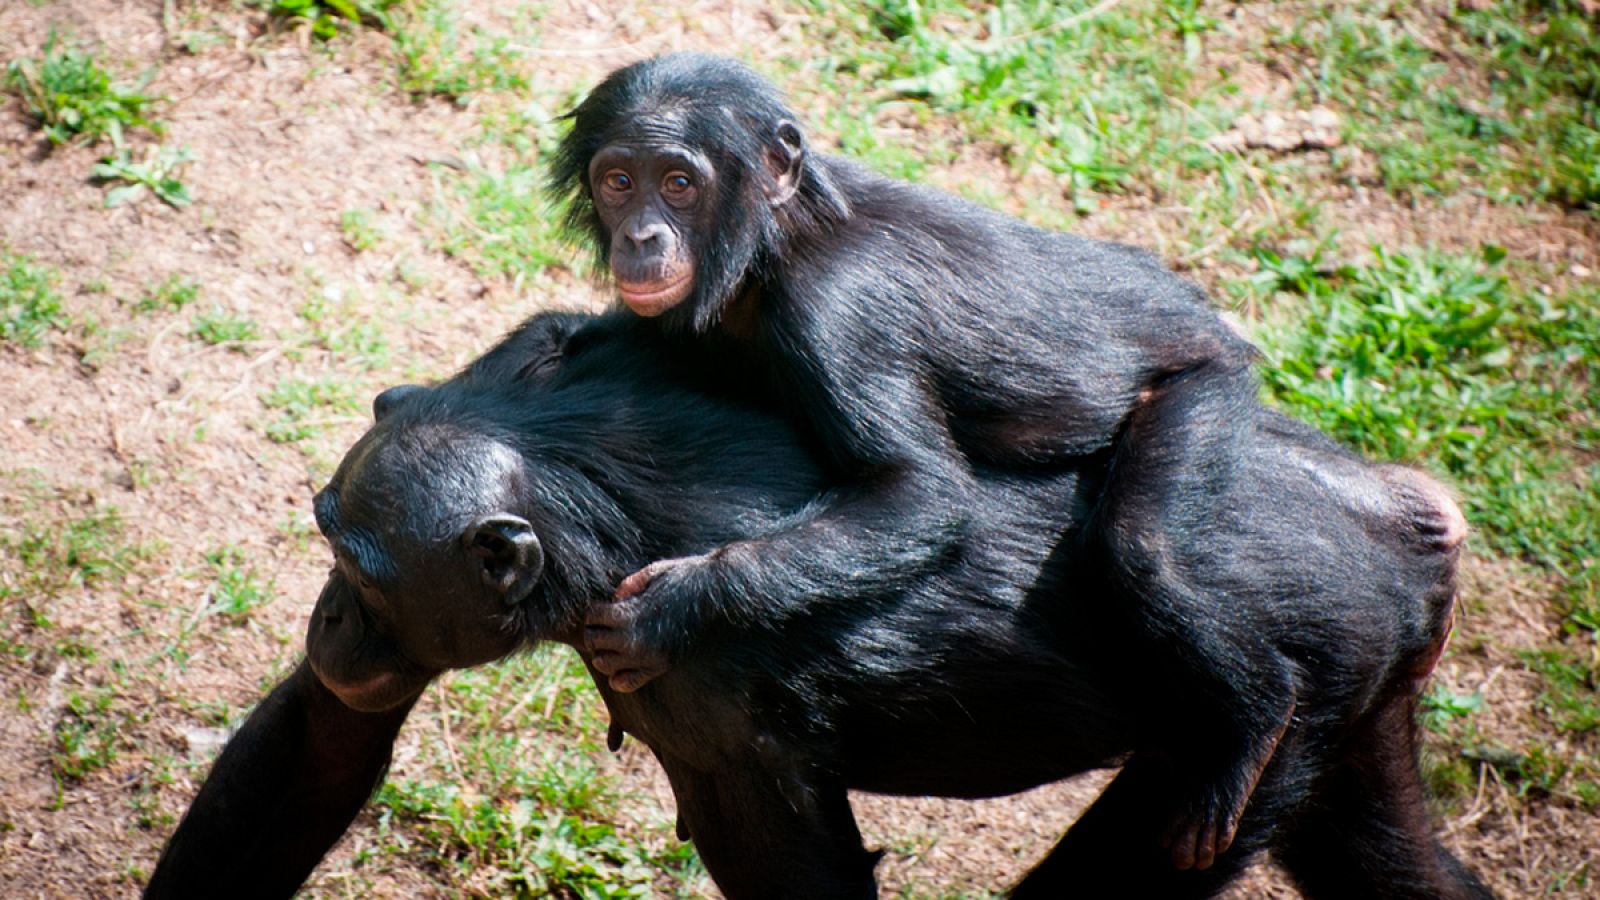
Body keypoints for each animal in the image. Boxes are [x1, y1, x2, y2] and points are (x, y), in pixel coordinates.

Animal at [140, 310, 1484, 896]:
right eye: (331, 540)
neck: (576, 490)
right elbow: (325, 739)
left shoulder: (706, 697)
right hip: (1366, 693)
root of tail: (1404, 518)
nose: (332, 620)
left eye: (365, 575)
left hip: (1290, 695)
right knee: (1388, 855)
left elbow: (793, 875)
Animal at [550, 54, 1299, 864]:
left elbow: (918, 493)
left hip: (1206, 385)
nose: (642, 234)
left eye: (680, 183)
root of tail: (1208, 317)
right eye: (619, 181)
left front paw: (671, 609)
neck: (772, 244)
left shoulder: (838, 314)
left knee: (1142, 549)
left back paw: (1249, 732)